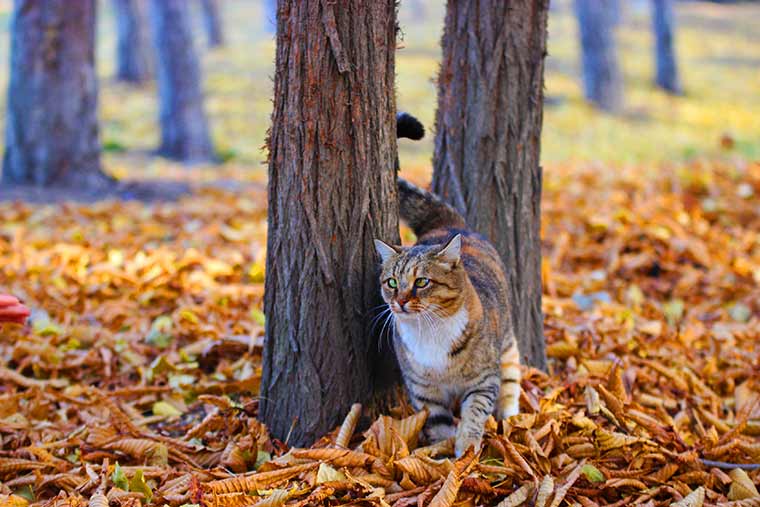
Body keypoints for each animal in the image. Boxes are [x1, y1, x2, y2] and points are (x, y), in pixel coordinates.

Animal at [376, 114, 524, 456]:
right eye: (392, 282)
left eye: (421, 282)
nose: (400, 301)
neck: (430, 333)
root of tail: (451, 224)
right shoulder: (424, 392)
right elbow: (439, 425)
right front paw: (441, 458)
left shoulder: (484, 380)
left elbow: (474, 415)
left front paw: (467, 450)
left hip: (507, 345)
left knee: (511, 380)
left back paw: (510, 416)